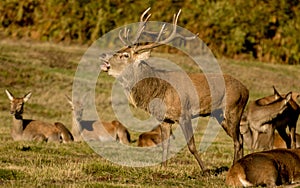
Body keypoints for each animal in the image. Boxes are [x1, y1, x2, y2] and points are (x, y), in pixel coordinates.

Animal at [99, 7, 250, 172]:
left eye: (125, 55)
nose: (104, 57)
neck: (157, 92)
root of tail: (246, 90)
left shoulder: (184, 113)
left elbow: (191, 146)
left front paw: (205, 170)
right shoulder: (164, 119)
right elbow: (165, 145)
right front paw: (163, 168)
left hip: (233, 108)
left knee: (238, 141)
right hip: (219, 114)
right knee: (240, 138)